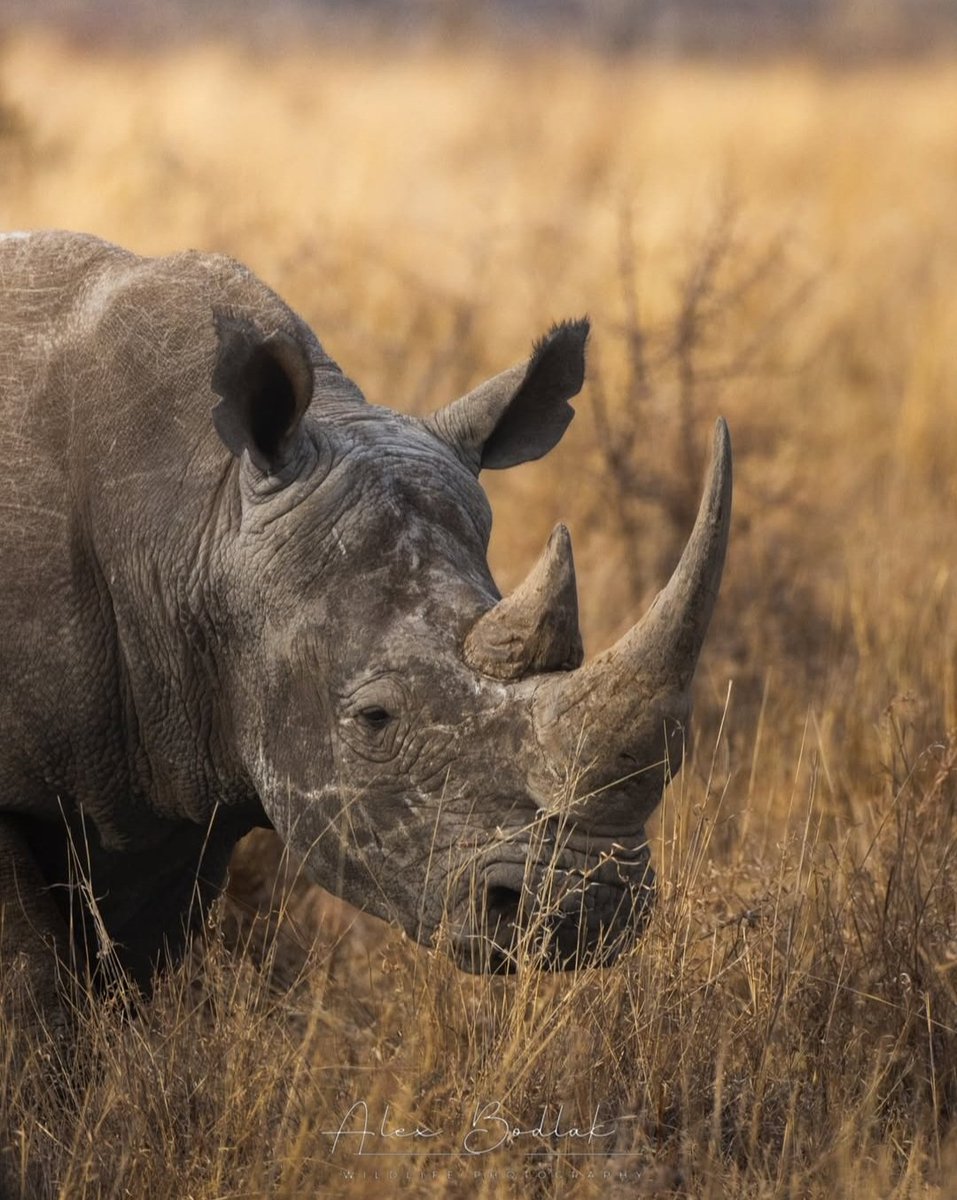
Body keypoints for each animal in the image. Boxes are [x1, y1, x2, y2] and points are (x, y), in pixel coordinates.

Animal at [0, 231, 731, 1011]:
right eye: (375, 719)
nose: (588, 914)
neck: (197, 516)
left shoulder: (172, 776)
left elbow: (127, 969)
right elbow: (31, 980)